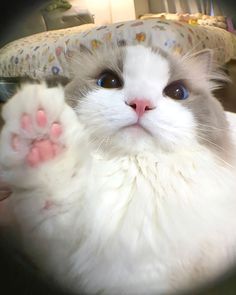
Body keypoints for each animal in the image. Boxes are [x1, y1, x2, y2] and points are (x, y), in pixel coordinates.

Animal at [0, 44, 236, 295]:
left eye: (177, 92)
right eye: (108, 81)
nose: (140, 103)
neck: (136, 174)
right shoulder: (59, 253)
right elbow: (53, 191)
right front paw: (40, 134)